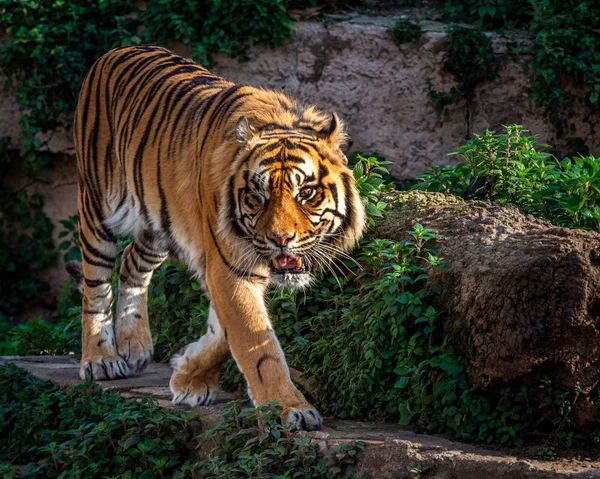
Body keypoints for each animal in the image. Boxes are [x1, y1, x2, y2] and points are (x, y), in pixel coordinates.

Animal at [73, 46, 366, 432]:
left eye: (306, 192)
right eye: (256, 196)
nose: (281, 239)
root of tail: (115, 51)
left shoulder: (228, 268)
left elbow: (225, 333)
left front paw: (188, 377)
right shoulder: (228, 266)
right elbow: (256, 344)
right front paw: (290, 409)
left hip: (157, 224)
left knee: (133, 264)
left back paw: (135, 345)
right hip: (97, 206)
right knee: (95, 286)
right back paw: (101, 360)